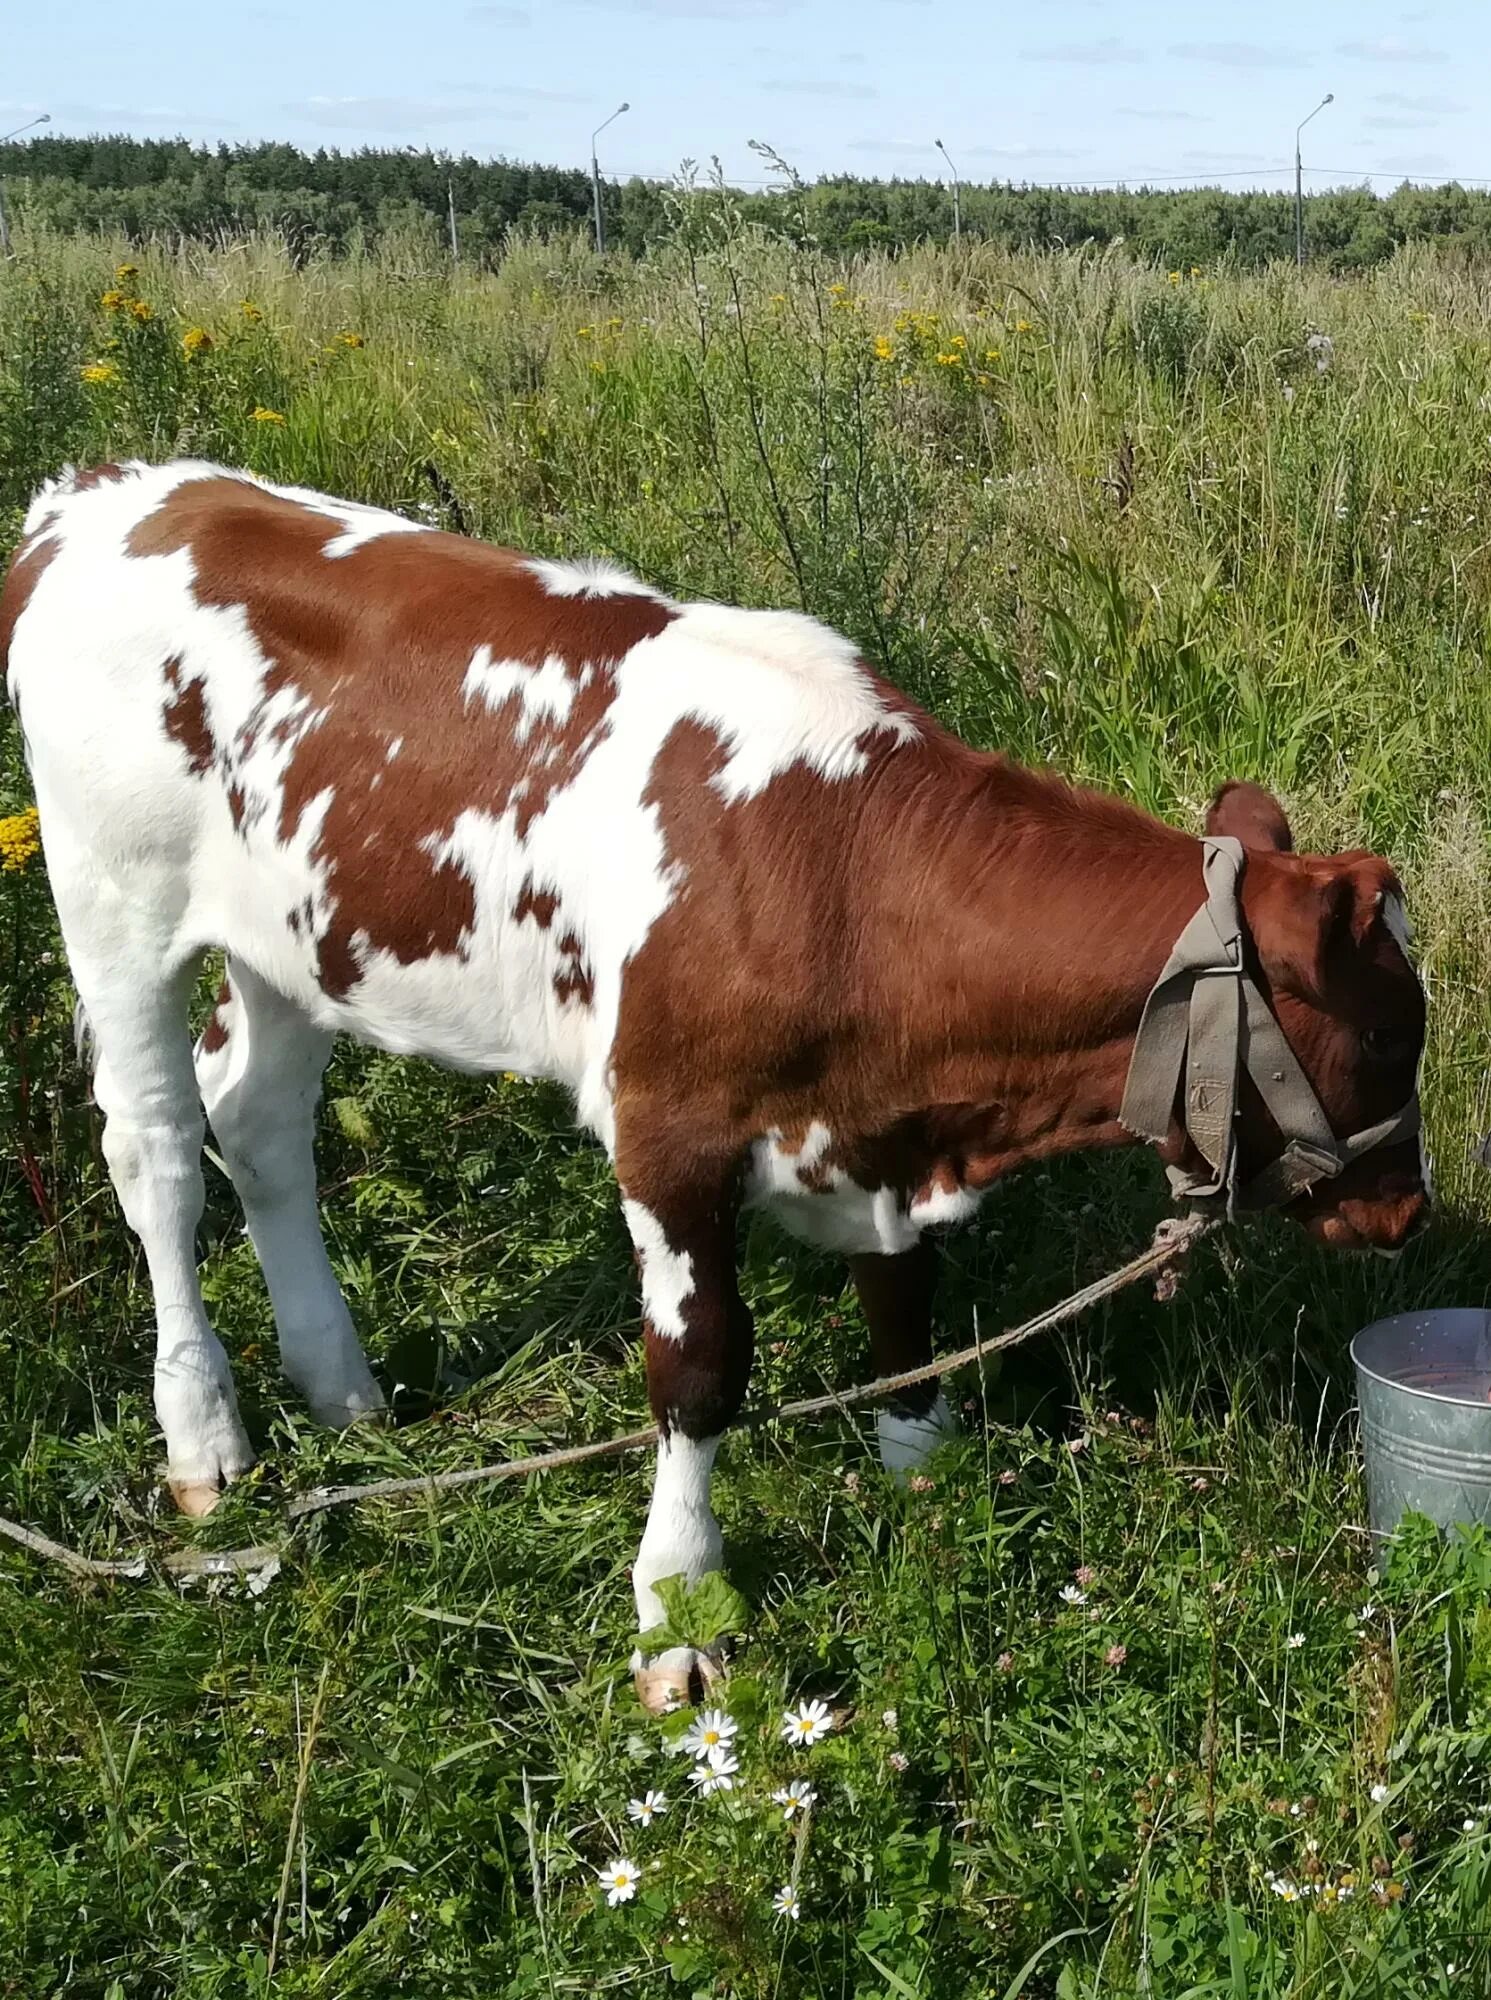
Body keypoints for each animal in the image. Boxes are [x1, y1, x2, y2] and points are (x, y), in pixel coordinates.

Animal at [0, 464, 1423, 1704]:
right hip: (111, 900)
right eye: (1382, 1034)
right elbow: (698, 1370)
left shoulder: (874, 1132)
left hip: (292, 938)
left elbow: (903, 1302)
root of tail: (109, 490)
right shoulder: (667, 1131)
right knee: (159, 1150)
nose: (1405, 1210)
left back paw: (344, 1392)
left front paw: (919, 1473)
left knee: (259, 1122)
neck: (845, 871)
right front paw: (677, 1607)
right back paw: (206, 1435)